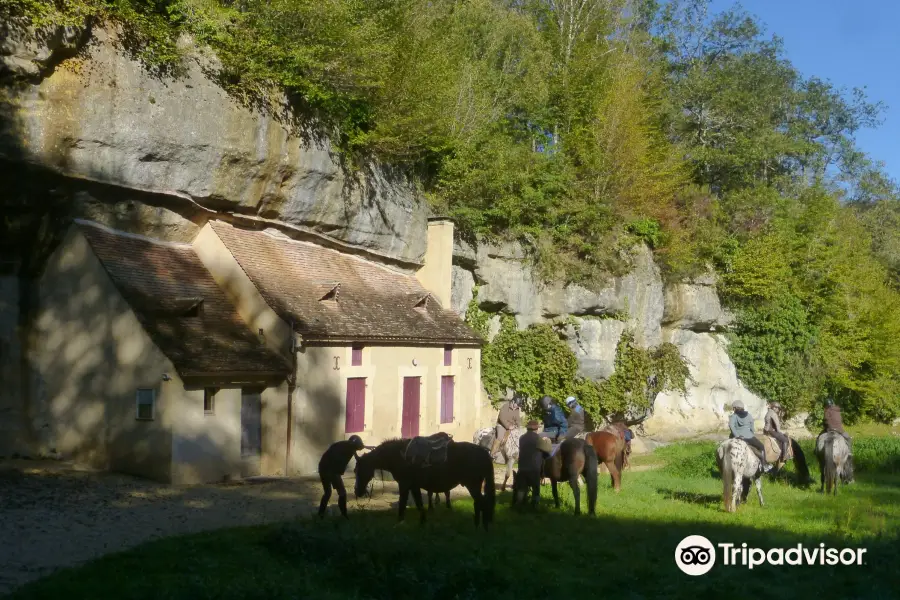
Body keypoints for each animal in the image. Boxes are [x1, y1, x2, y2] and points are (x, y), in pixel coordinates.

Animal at [354, 436, 496, 528]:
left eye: (359, 471)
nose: (357, 492)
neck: (400, 456)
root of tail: (485, 454)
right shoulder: (414, 486)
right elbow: (419, 504)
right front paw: (422, 521)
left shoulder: (404, 484)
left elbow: (403, 504)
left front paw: (399, 522)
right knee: (479, 503)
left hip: (473, 485)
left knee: (481, 503)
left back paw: (481, 527)